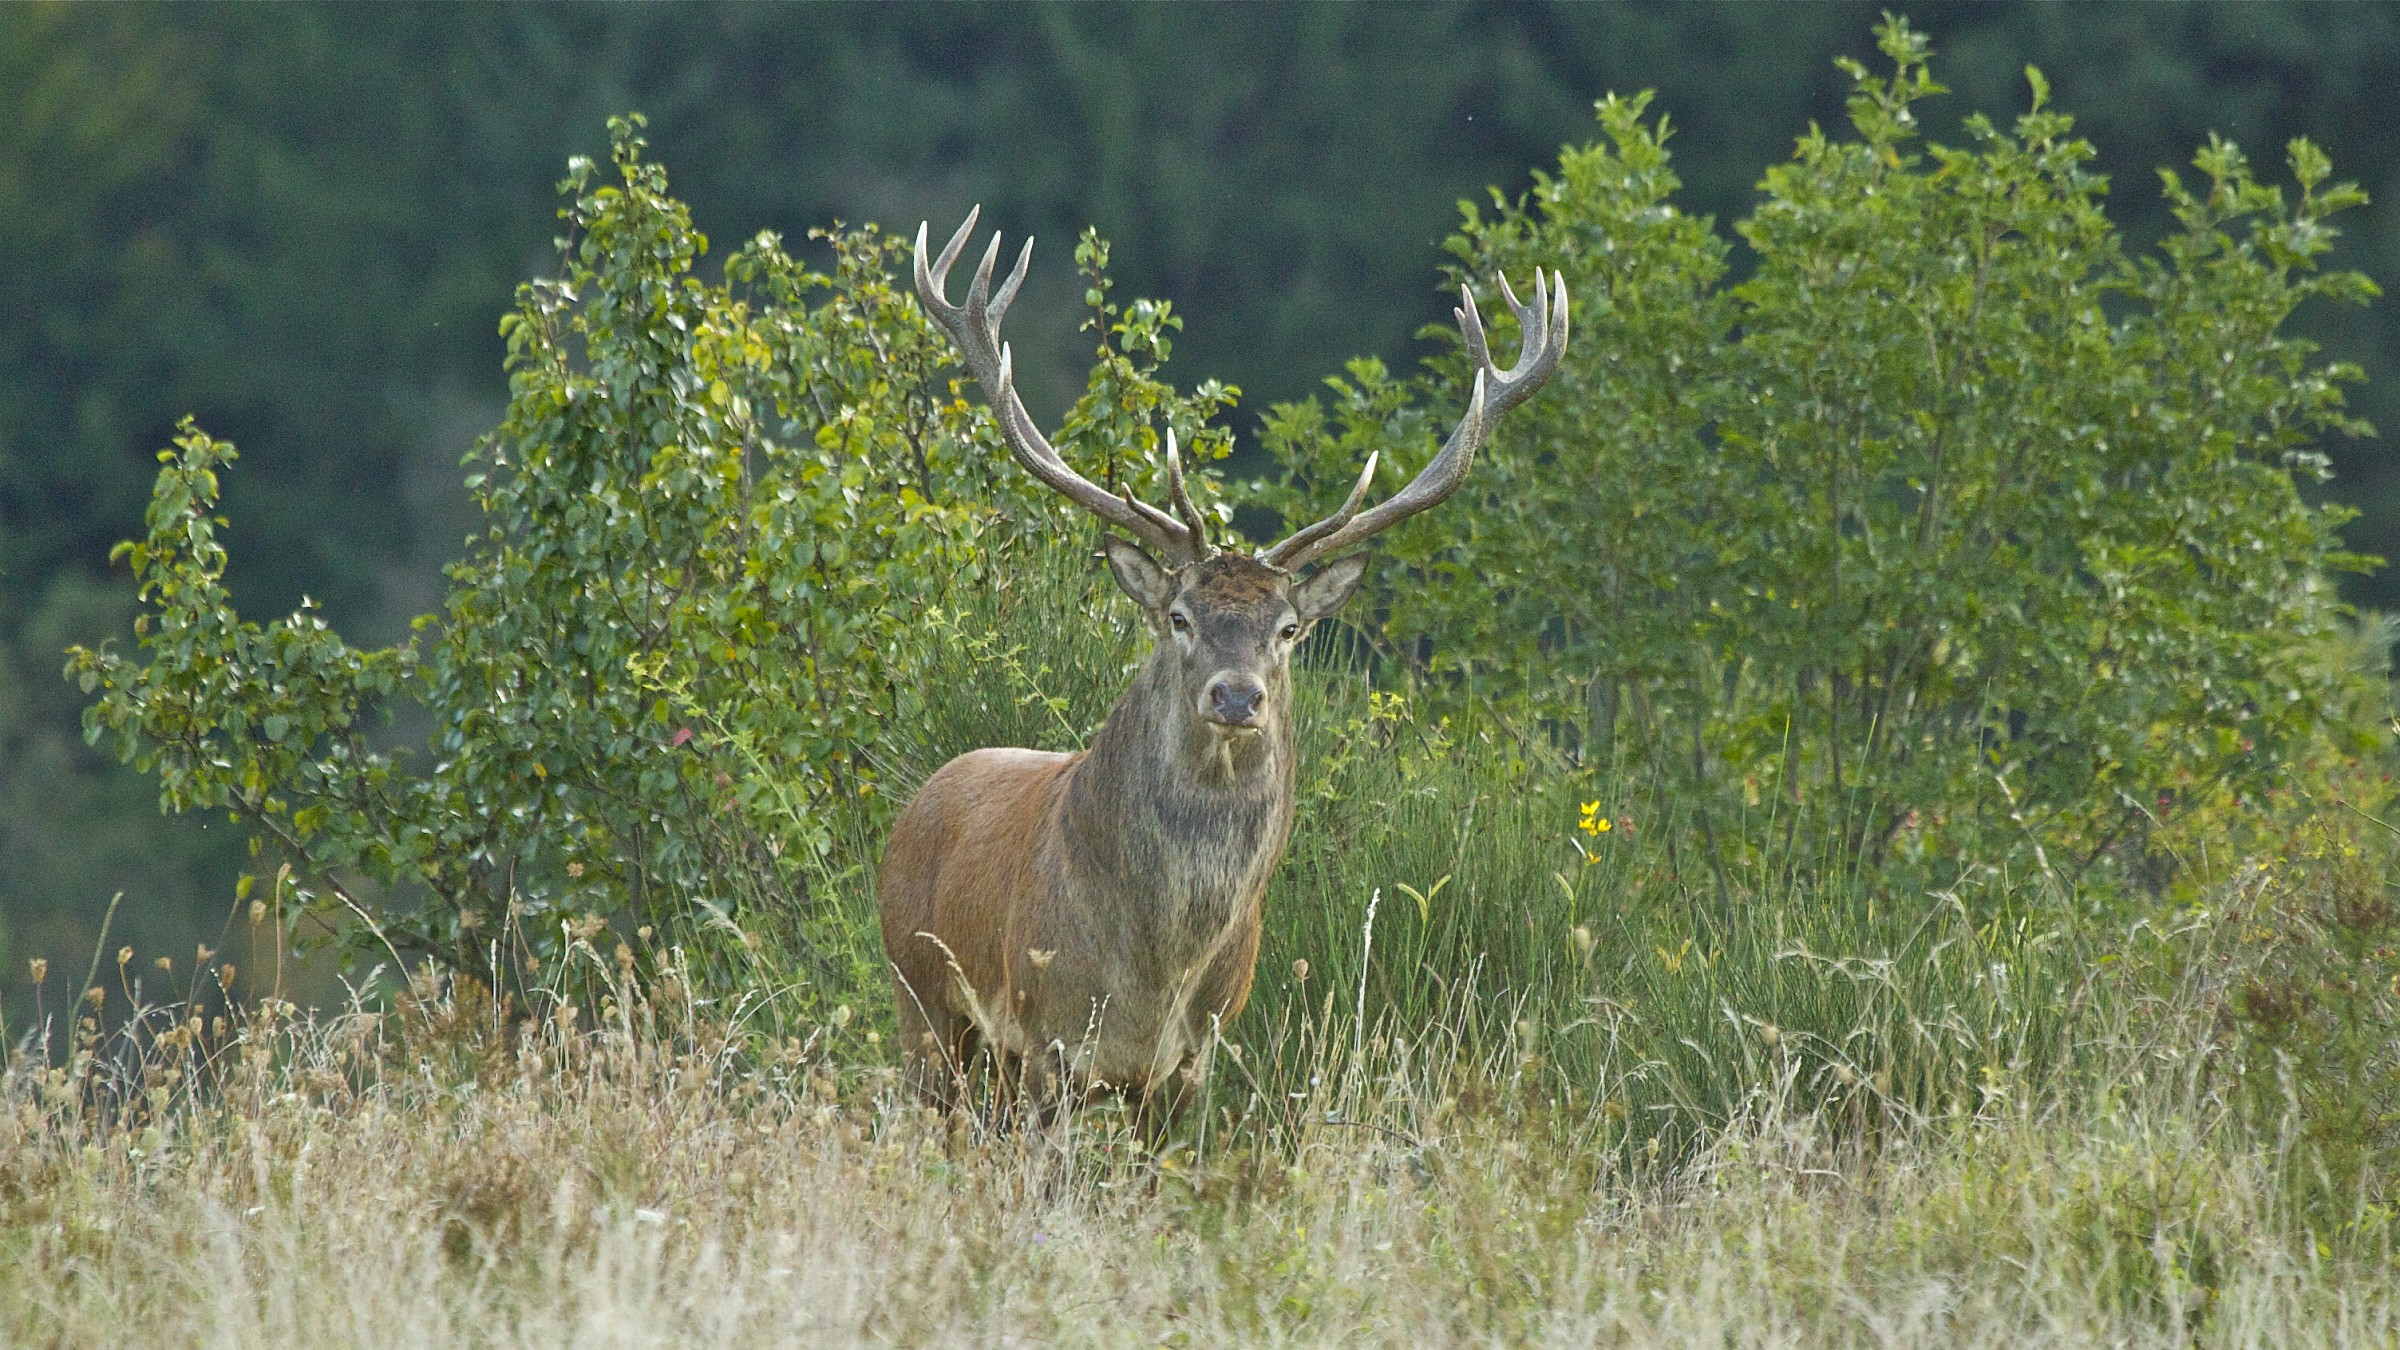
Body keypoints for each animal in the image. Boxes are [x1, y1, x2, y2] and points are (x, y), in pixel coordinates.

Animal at [879, 207, 1567, 1115]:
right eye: (1179, 617)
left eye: (1288, 629)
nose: (1236, 698)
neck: (1156, 975)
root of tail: (918, 800)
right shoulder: (1049, 1042)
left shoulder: (1193, 1059)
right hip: (925, 1009)